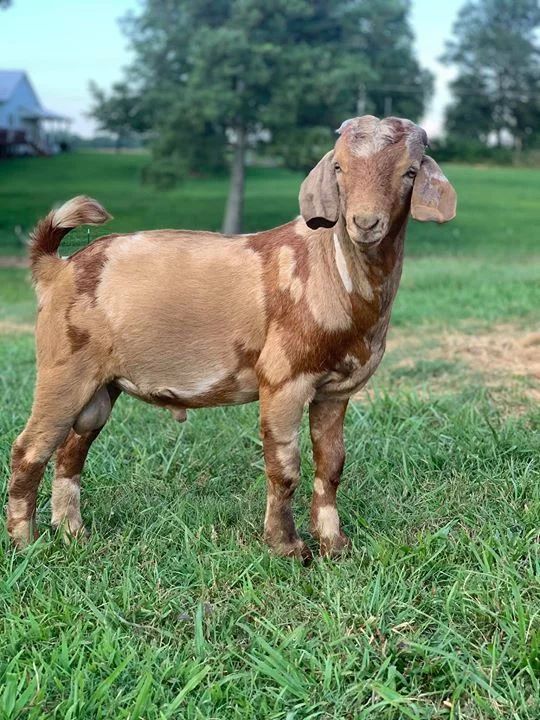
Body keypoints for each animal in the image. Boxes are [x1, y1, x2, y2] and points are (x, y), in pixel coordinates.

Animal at [7, 115, 456, 560]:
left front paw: (335, 545)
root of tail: (58, 268)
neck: (332, 269)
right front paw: (288, 547)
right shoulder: (283, 379)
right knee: (29, 449)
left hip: (101, 388)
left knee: (70, 451)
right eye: (340, 168)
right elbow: (284, 467)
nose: (364, 223)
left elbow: (331, 465)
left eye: (410, 171)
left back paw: (72, 534)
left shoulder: (336, 390)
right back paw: (25, 544)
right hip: (64, 369)